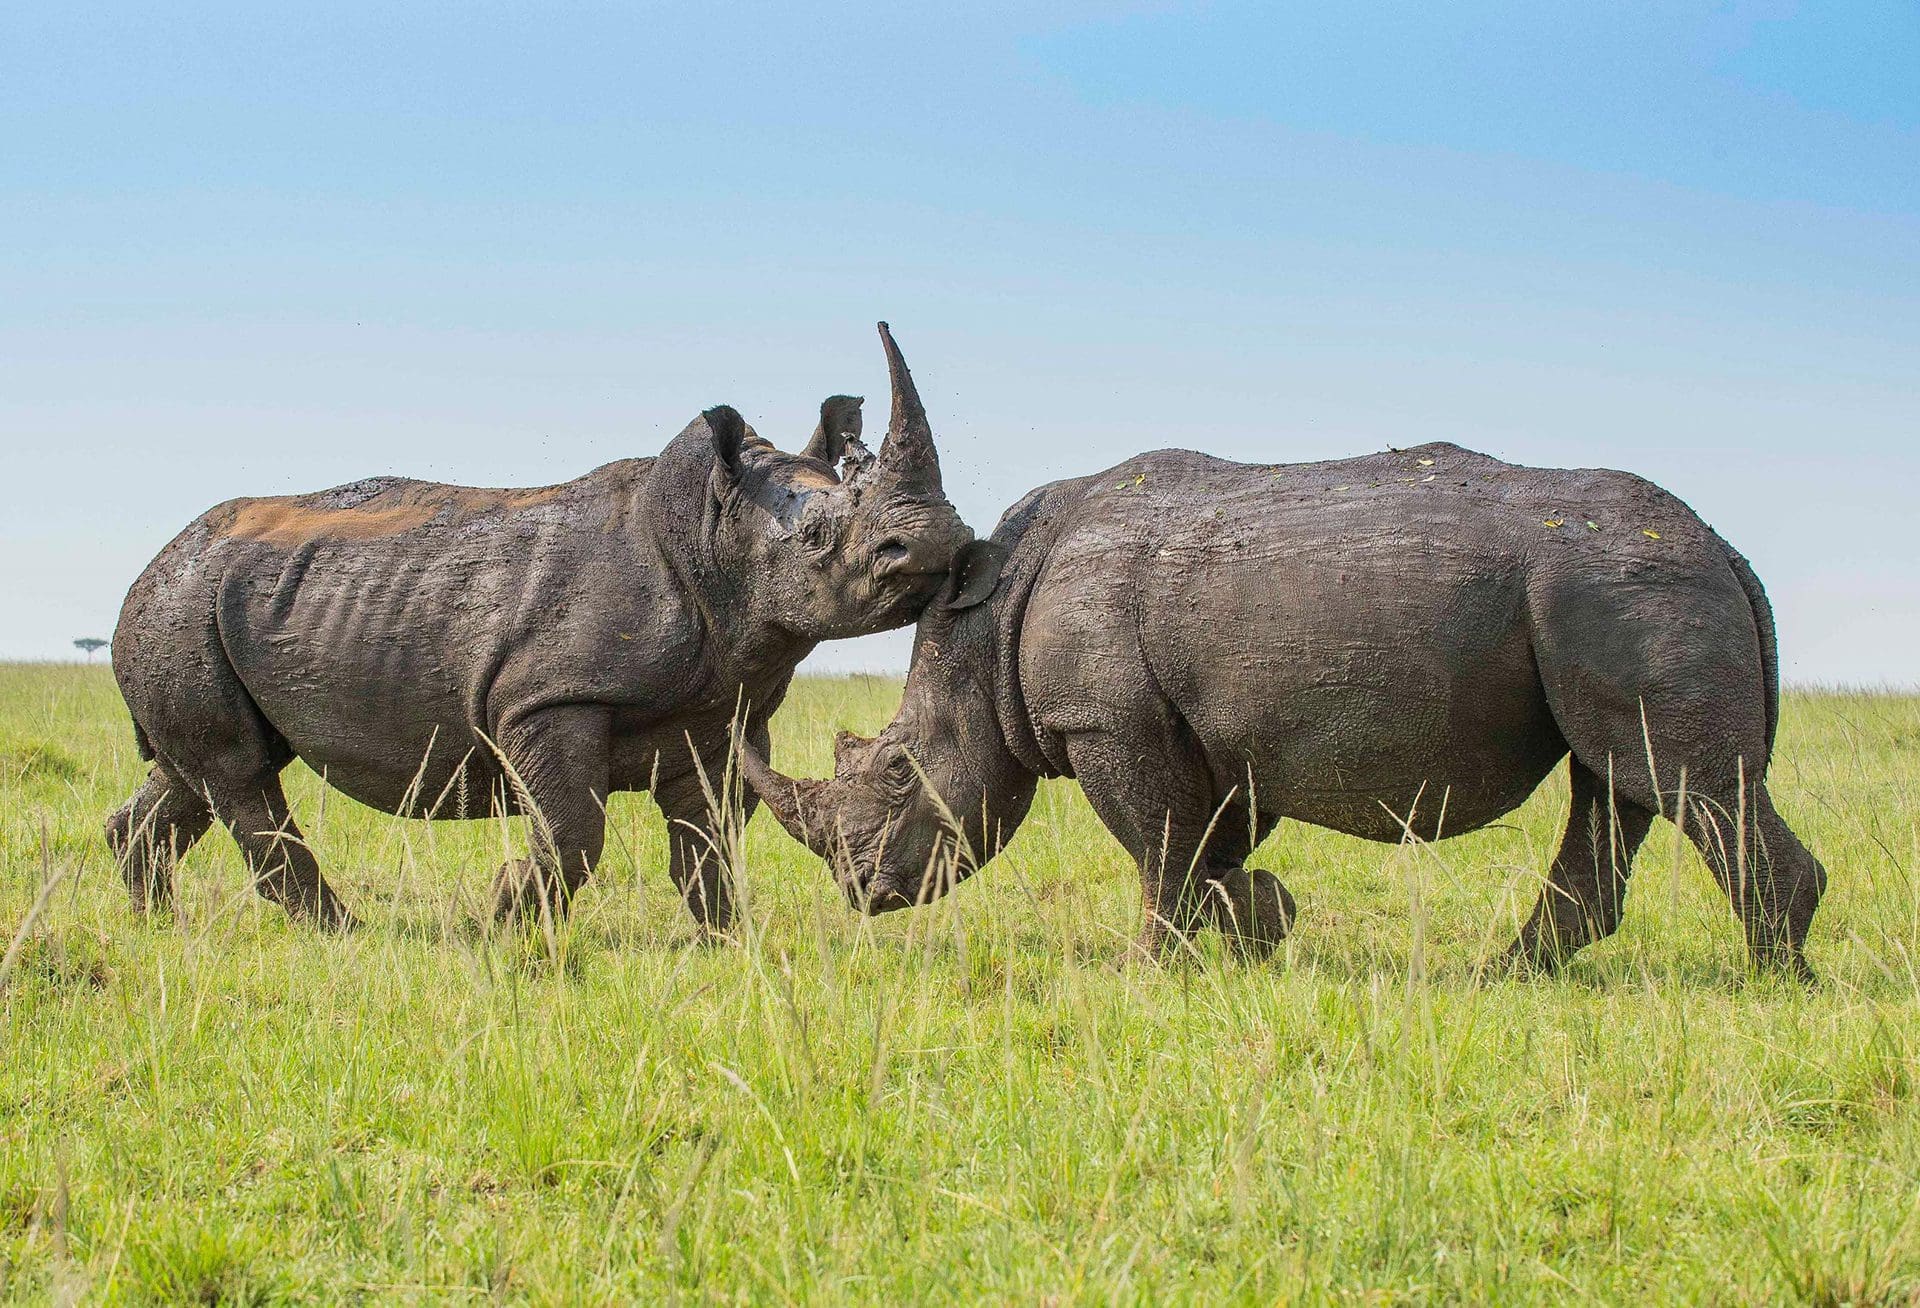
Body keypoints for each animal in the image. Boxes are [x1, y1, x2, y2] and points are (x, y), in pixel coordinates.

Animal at [107, 323, 972, 934]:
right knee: (239, 775)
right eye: (818, 537)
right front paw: (504, 918)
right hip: (181, 609)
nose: (940, 542)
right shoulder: (548, 698)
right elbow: (572, 829)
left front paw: (729, 943)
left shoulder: (723, 710)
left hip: (205, 610)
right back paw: (344, 936)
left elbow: (710, 841)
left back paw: (157, 924)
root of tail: (147, 571)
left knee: (197, 775)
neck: (712, 531)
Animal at [741, 443, 1828, 979]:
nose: (862, 891)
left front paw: (1149, 971)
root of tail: (1728, 549)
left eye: (896, 771)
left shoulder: (1106, 721)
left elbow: (1158, 845)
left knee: (1684, 784)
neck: (986, 620)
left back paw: (1773, 985)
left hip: (1627, 585)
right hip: (1612, 592)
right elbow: (1203, 840)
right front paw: (1260, 925)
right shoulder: (1202, 728)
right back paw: (1511, 976)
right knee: (1617, 779)